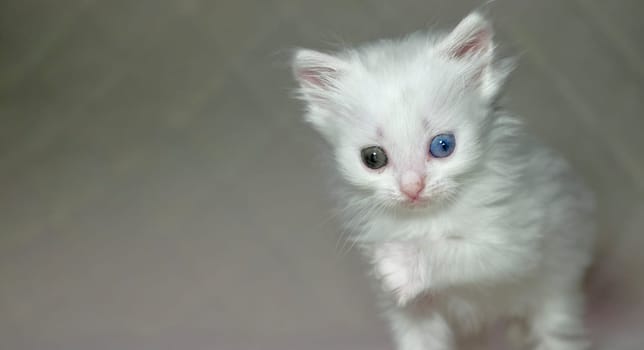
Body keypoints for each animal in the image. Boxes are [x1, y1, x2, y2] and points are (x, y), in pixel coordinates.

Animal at [290, 11, 592, 350]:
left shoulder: (520, 236)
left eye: (443, 146)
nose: (412, 187)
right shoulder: (407, 309)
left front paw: (403, 263)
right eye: (373, 158)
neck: (423, 222)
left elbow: (469, 254)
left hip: (558, 286)